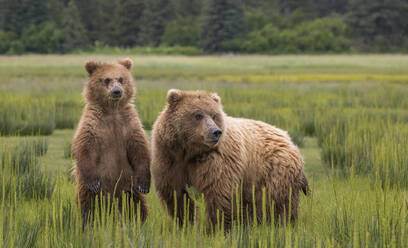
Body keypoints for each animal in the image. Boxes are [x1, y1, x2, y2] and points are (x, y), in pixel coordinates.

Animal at [72, 58, 151, 225]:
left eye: (121, 79)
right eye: (107, 79)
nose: (117, 91)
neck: (112, 110)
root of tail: (112, 196)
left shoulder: (129, 123)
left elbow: (140, 147)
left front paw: (144, 184)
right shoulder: (93, 124)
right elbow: (85, 146)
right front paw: (93, 182)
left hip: (128, 185)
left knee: (137, 204)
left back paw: (139, 222)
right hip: (88, 189)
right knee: (86, 204)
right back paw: (87, 223)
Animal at [152, 89, 310, 231]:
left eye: (214, 115)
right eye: (198, 115)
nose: (216, 132)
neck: (191, 152)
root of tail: (289, 140)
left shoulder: (217, 161)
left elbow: (219, 193)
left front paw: (216, 228)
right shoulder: (170, 158)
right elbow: (175, 192)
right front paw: (187, 223)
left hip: (274, 172)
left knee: (274, 203)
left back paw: (279, 224)